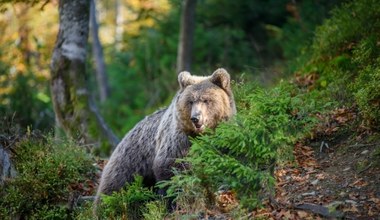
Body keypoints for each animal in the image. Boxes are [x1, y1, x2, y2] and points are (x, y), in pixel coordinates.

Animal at [95, 69, 236, 205]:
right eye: (190, 101)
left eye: (206, 100)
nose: (196, 118)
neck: (201, 135)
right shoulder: (179, 140)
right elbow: (171, 167)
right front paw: (174, 199)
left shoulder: (223, 140)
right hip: (130, 162)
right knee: (114, 186)